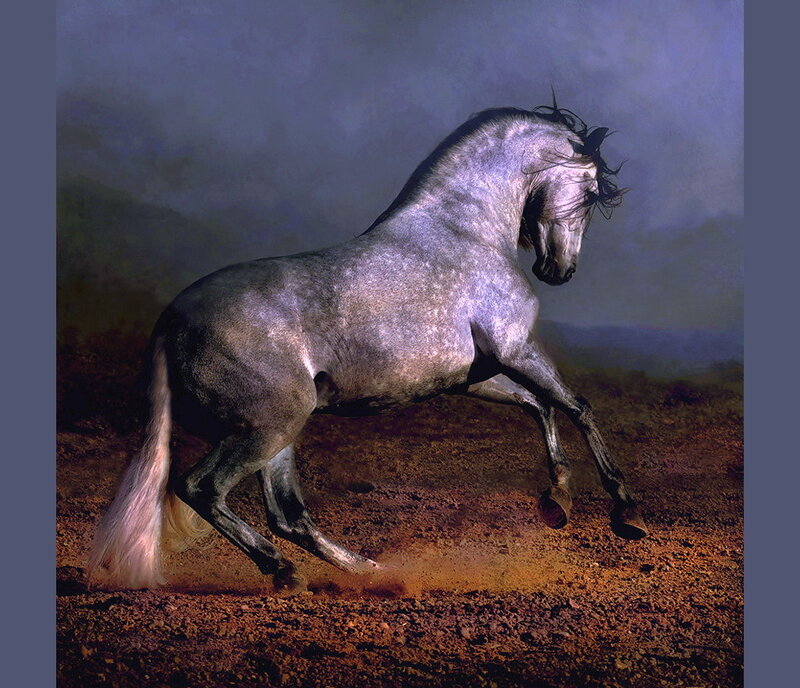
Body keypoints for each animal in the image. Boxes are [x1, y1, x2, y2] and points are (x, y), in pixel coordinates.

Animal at [88, 101, 647, 592]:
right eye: (591, 192)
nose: (559, 271)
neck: (466, 230)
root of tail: (170, 321)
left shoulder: (474, 377)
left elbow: (540, 406)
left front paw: (557, 502)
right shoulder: (516, 348)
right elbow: (576, 406)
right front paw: (626, 512)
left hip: (278, 434)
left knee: (286, 514)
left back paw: (365, 571)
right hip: (269, 427)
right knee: (201, 489)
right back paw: (290, 572)